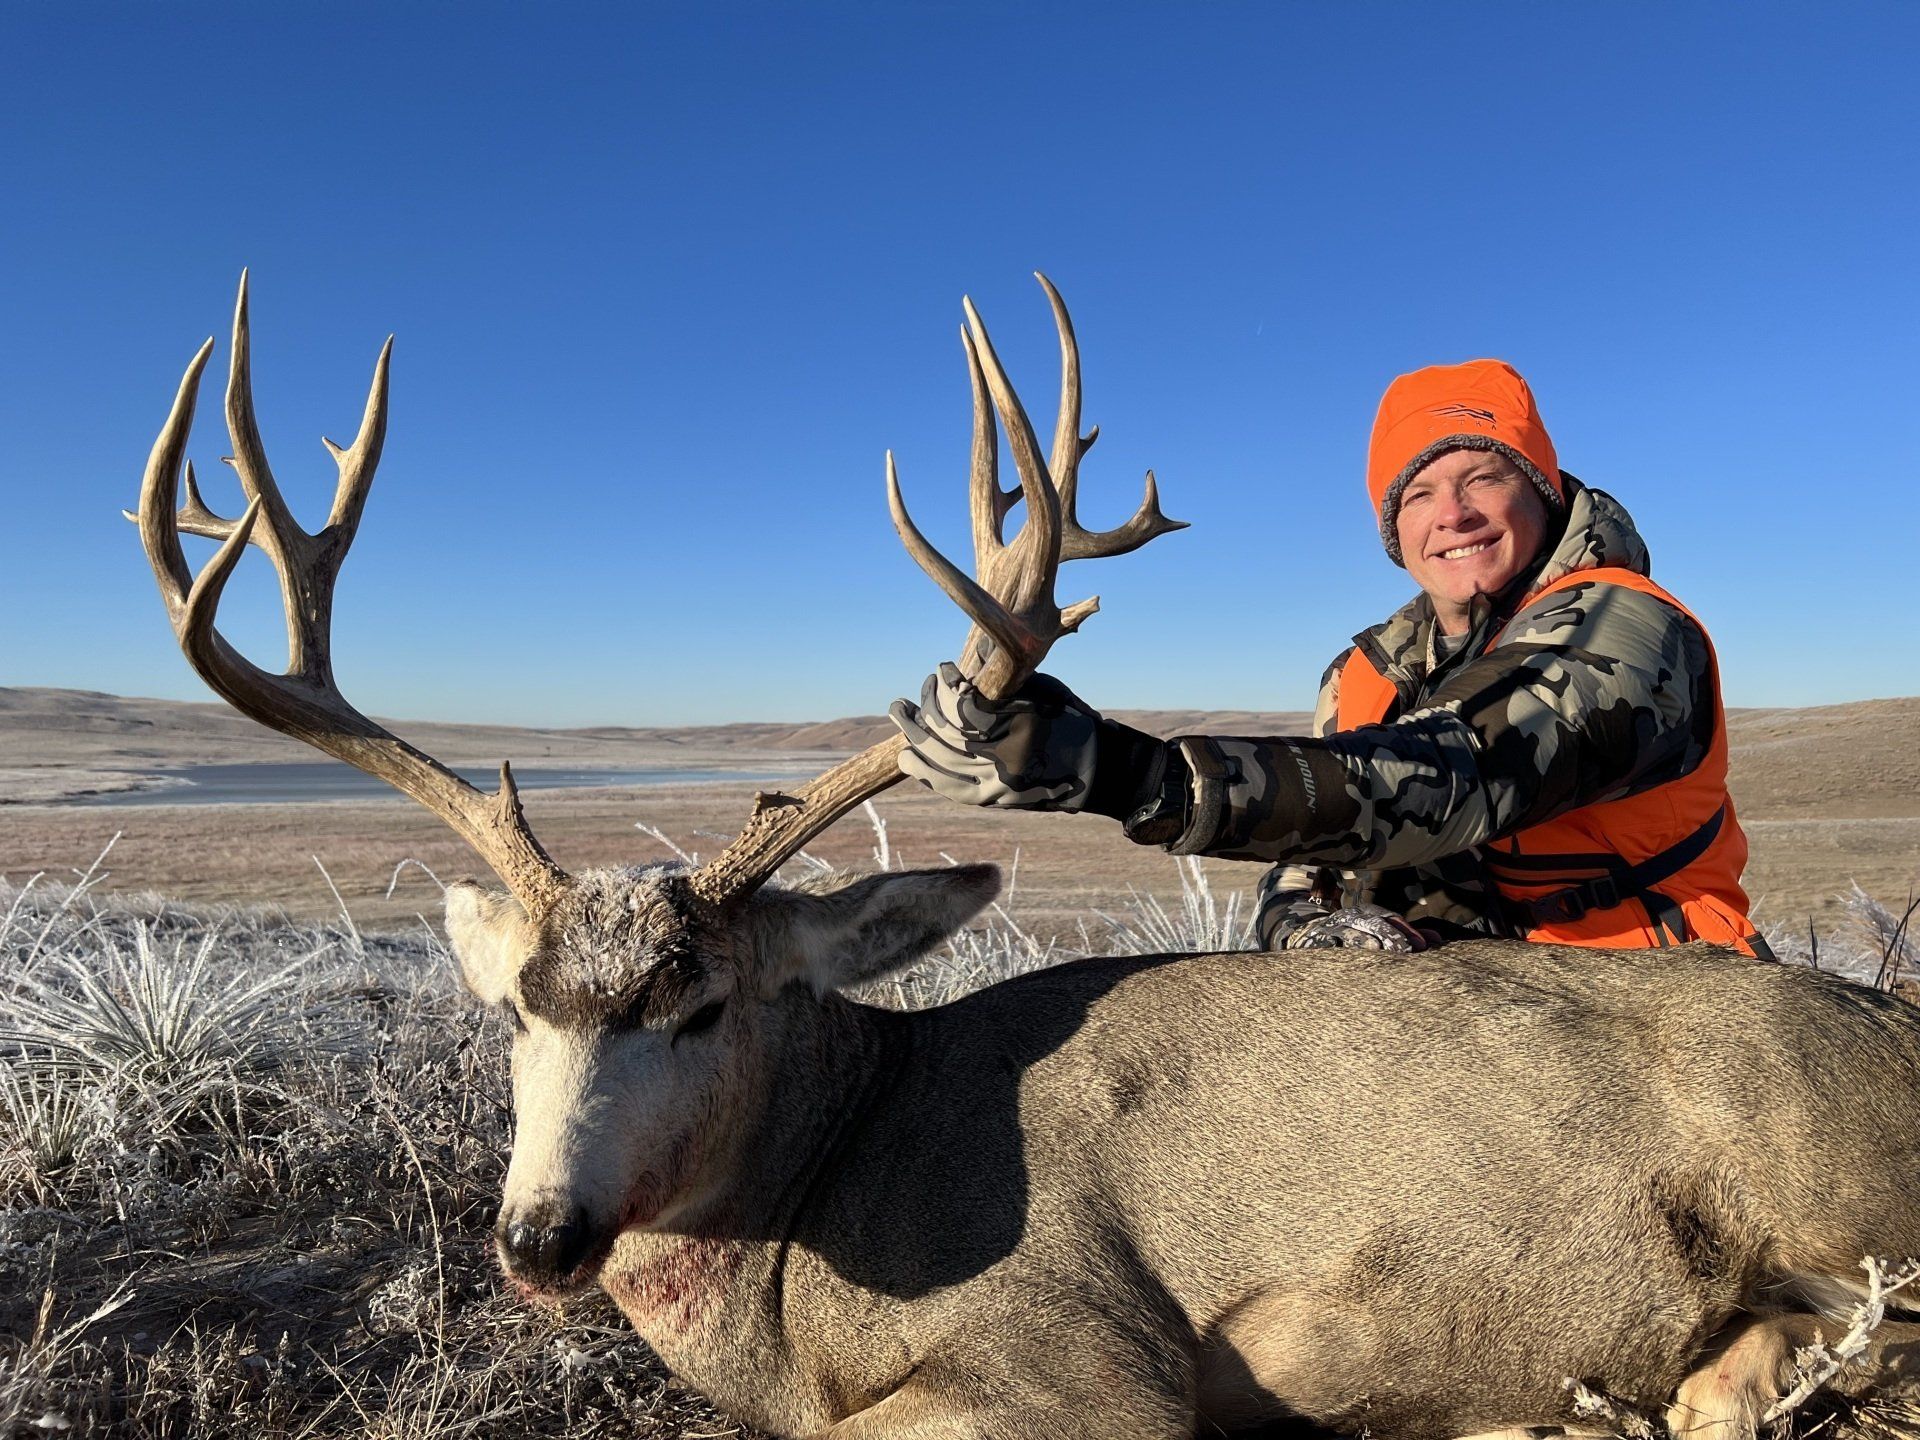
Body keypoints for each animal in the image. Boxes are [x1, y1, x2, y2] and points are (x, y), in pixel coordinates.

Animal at [134, 273, 1920, 1440]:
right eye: (518, 1005)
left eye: (702, 1000)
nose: (540, 1239)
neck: (832, 1196)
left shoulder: (1087, 1357)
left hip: (1839, 1182)